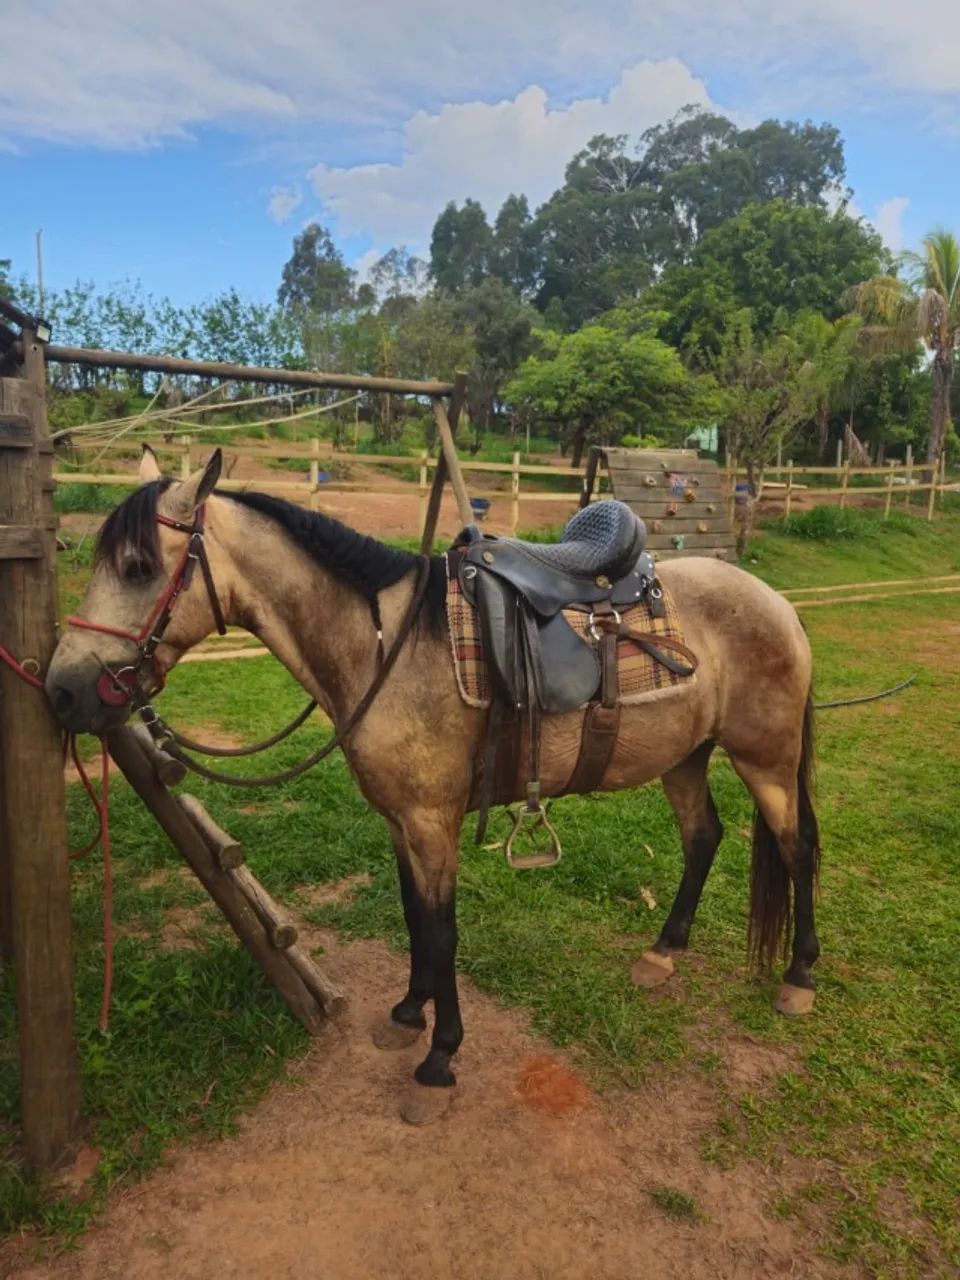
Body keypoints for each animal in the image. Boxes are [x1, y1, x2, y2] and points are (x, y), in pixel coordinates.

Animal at [47, 448, 820, 1125]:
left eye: (139, 566)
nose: (63, 690)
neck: (383, 647)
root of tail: (777, 603)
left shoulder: (430, 820)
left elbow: (443, 932)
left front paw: (438, 1061)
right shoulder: (399, 821)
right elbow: (414, 916)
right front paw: (406, 1015)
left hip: (767, 760)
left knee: (796, 849)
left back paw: (799, 978)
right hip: (686, 756)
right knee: (703, 837)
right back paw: (664, 952)